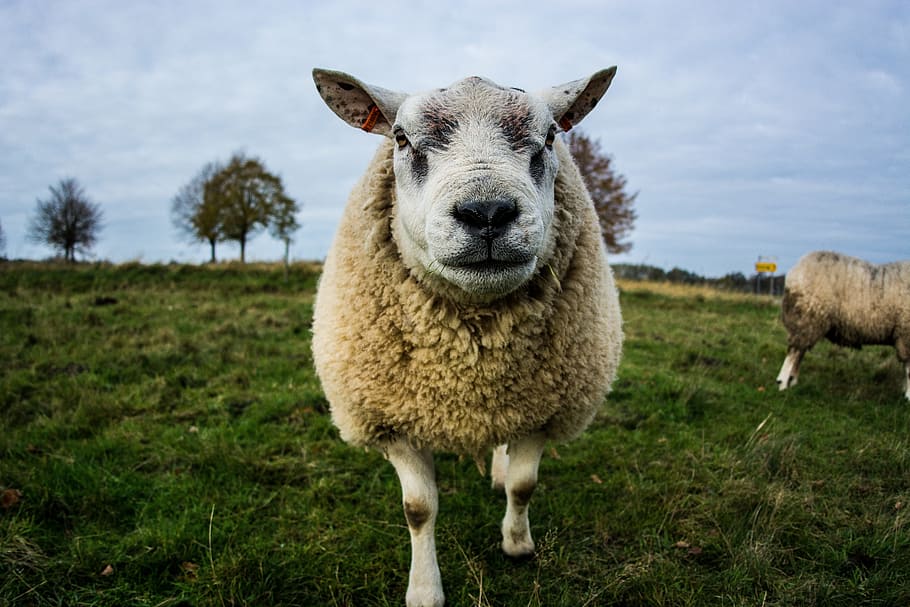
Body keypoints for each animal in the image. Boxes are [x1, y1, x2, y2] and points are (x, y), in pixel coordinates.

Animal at [311, 67, 623, 607]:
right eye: (401, 138)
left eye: (549, 137)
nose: (487, 212)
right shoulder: (391, 421)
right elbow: (418, 508)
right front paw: (424, 589)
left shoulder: (544, 410)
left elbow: (524, 486)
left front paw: (517, 544)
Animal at [776, 250, 910, 400]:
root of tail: (795, 271)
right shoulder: (906, 334)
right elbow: (909, 371)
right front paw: (908, 395)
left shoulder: (904, 336)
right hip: (808, 317)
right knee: (794, 351)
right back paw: (783, 383)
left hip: (808, 323)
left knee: (800, 351)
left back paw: (792, 382)